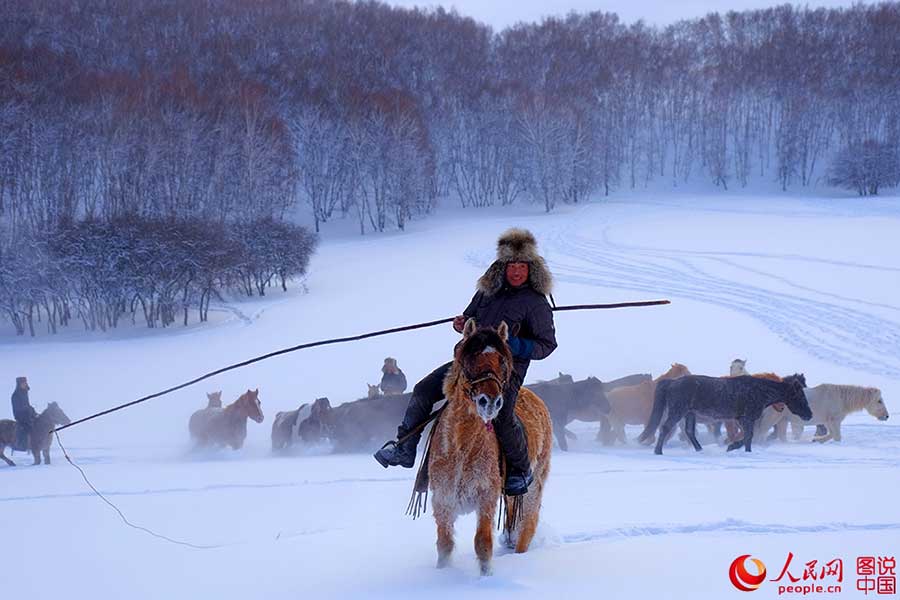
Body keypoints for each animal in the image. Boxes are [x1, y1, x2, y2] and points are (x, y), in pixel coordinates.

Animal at [428, 322, 552, 576]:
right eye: (470, 357)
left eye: (502, 360)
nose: (491, 402)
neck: (461, 448)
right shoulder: (442, 500)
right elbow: (444, 544)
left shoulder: (486, 496)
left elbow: (483, 543)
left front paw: (487, 577)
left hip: (534, 486)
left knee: (528, 524)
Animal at [636, 372, 812, 452]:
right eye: (800, 396)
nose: (809, 415)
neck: (760, 392)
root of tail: (671, 383)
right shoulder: (746, 418)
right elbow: (748, 436)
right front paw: (735, 448)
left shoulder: (741, 419)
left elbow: (747, 436)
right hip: (677, 411)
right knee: (665, 428)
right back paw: (658, 451)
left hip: (689, 414)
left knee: (689, 432)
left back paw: (699, 449)